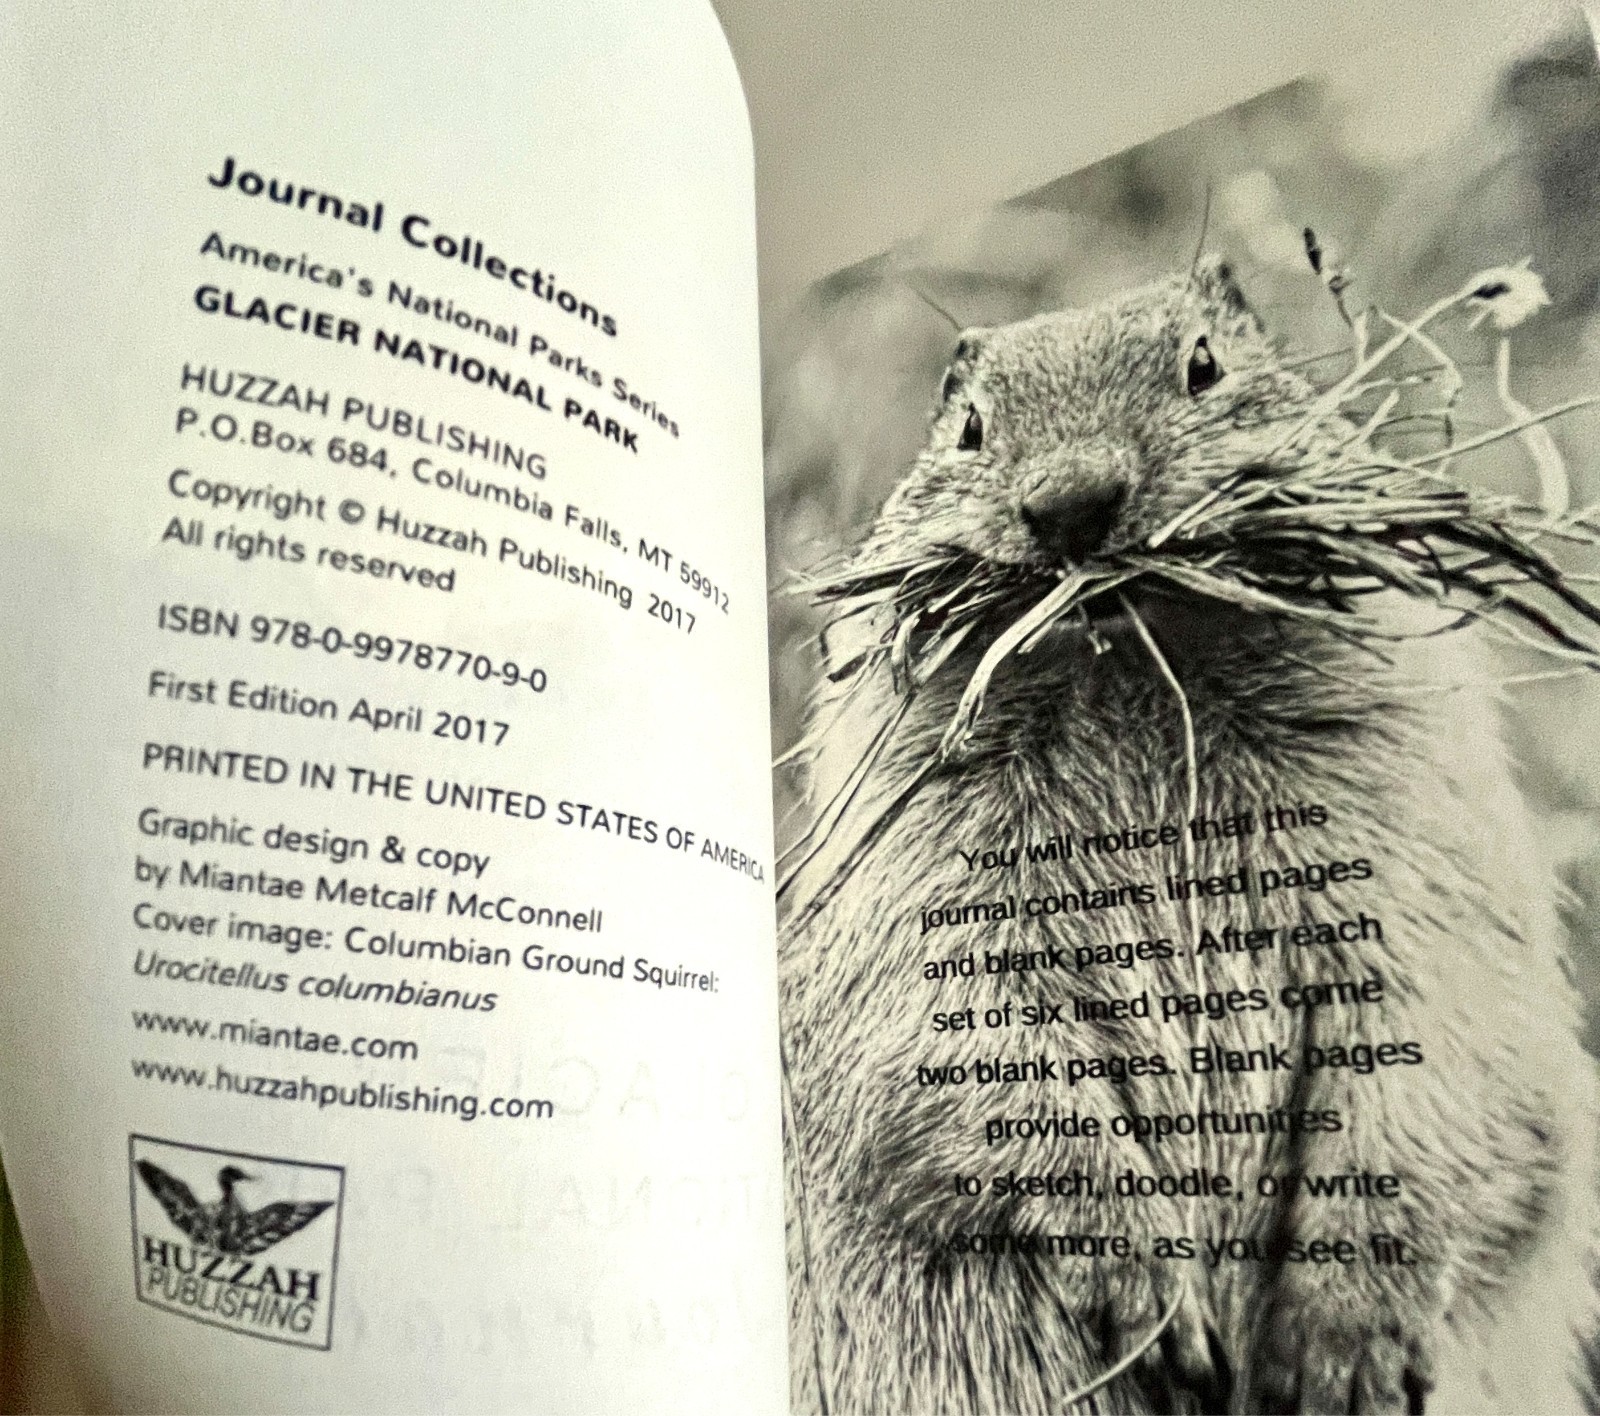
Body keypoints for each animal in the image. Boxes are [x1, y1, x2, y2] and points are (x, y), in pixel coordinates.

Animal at [779, 256, 1600, 1414]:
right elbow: (959, 1035)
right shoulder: (910, 856)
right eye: (968, 427)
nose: (1071, 501)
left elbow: (1440, 1006)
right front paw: (1149, 1300)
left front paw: (1340, 1343)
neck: (1134, 669)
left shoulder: (1421, 791)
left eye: (1204, 363)